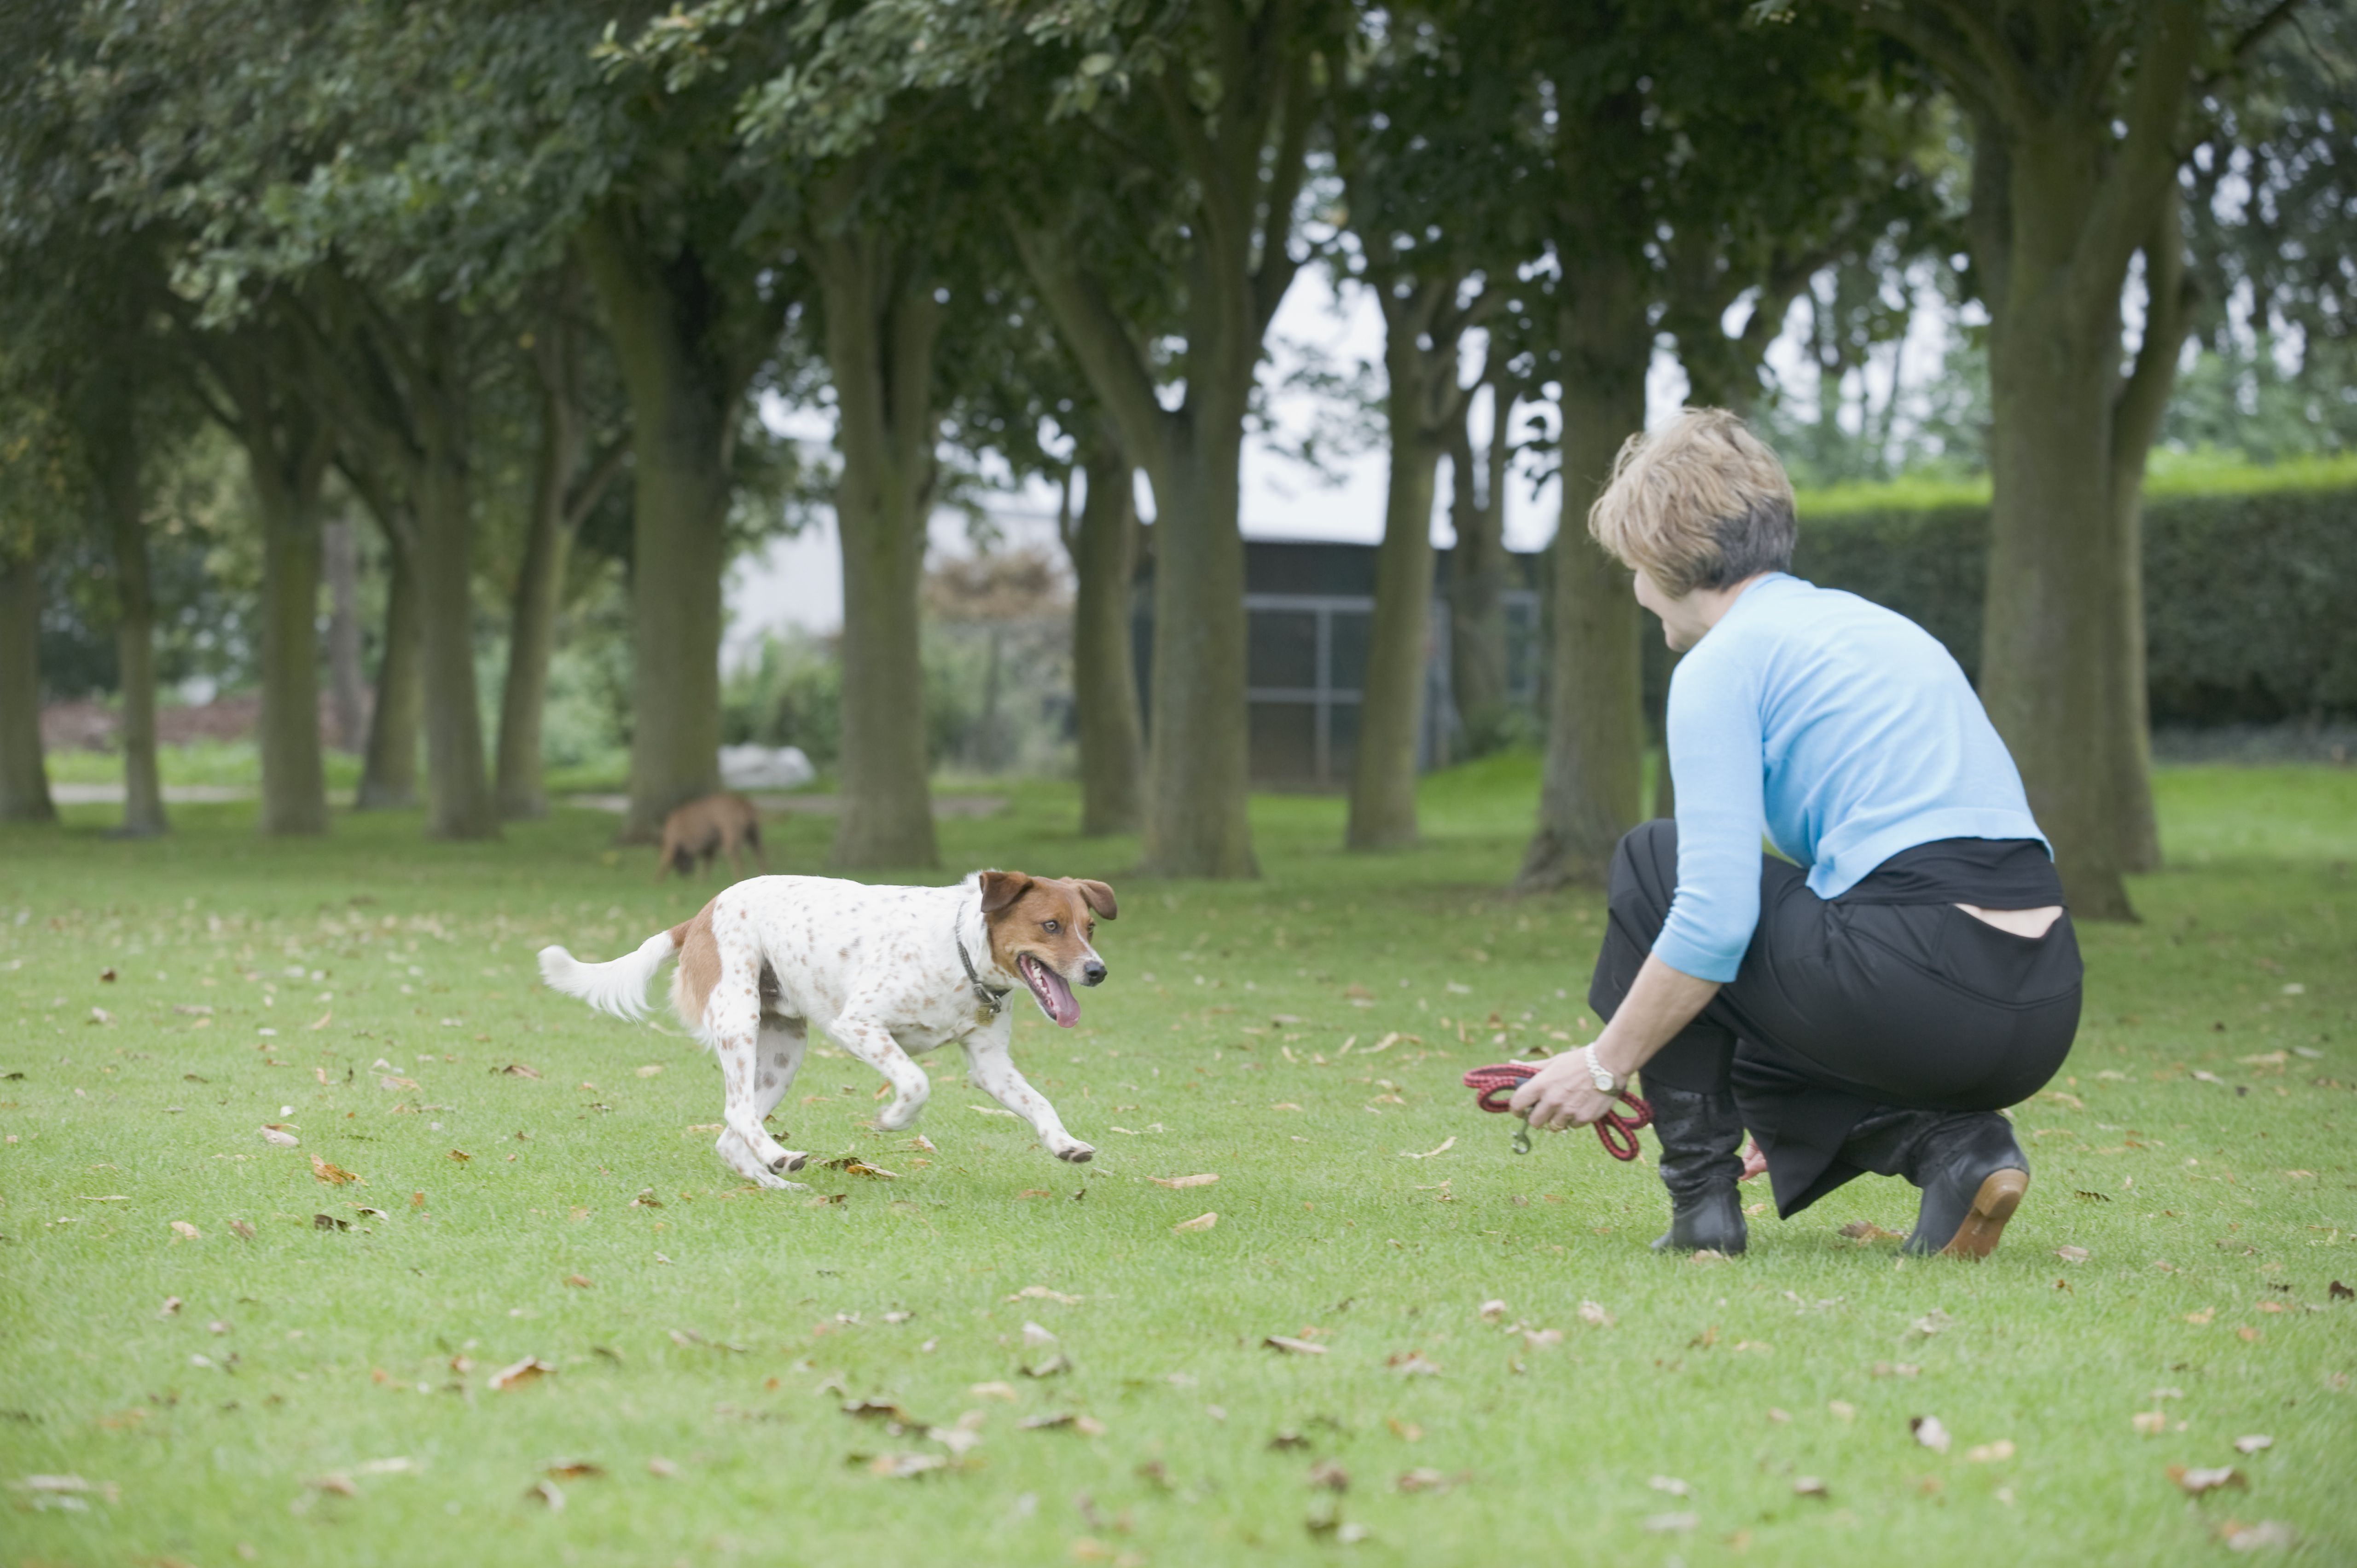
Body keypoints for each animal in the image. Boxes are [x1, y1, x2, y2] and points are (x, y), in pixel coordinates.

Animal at [540, 868, 1117, 1188]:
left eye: (1089, 927)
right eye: (1050, 926)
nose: (1097, 971)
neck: (961, 952)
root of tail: (701, 914)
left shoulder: (990, 1064)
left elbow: (1039, 1102)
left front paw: (1065, 1143)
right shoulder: (857, 1023)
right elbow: (915, 1080)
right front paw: (893, 1118)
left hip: (783, 1052)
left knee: (730, 1136)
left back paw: (776, 1182)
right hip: (739, 1020)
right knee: (736, 1111)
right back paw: (777, 1156)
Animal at [655, 797, 763, 882]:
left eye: (678, 863)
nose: (685, 875)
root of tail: (743, 804)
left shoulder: (671, 845)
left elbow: (664, 864)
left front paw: (657, 881)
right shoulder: (709, 849)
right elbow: (707, 865)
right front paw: (702, 881)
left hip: (731, 840)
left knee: (738, 859)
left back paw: (739, 877)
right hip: (754, 837)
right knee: (760, 854)